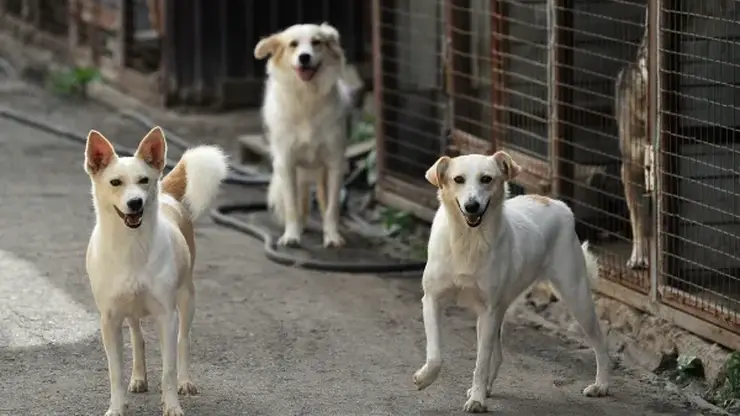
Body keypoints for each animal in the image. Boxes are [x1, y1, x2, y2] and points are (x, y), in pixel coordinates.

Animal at [84, 127, 228, 416]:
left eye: (144, 180)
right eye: (115, 182)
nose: (135, 203)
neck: (132, 245)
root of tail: (168, 196)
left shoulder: (167, 316)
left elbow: (168, 370)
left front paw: (171, 405)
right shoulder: (110, 320)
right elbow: (115, 372)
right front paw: (116, 407)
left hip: (187, 298)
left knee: (183, 341)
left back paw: (185, 381)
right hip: (131, 312)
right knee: (138, 338)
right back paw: (139, 378)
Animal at [253, 22, 352, 249]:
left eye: (316, 42)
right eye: (293, 44)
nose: (304, 57)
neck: (307, 97)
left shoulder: (334, 163)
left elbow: (332, 206)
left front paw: (332, 236)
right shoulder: (287, 162)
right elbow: (292, 205)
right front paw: (291, 235)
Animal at [414, 151, 608, 412]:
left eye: (486, 179)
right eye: (458, 179)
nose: (472, 206)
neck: (468, 240)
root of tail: (555, 202)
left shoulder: (487, 312)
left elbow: (480, 363)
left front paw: (477, 399)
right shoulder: (432, 300)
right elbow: (435, 355)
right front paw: (425, 378)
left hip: (576, 298)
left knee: (599, 340)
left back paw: (601, 385)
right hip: (501, 310)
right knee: (498, 355)